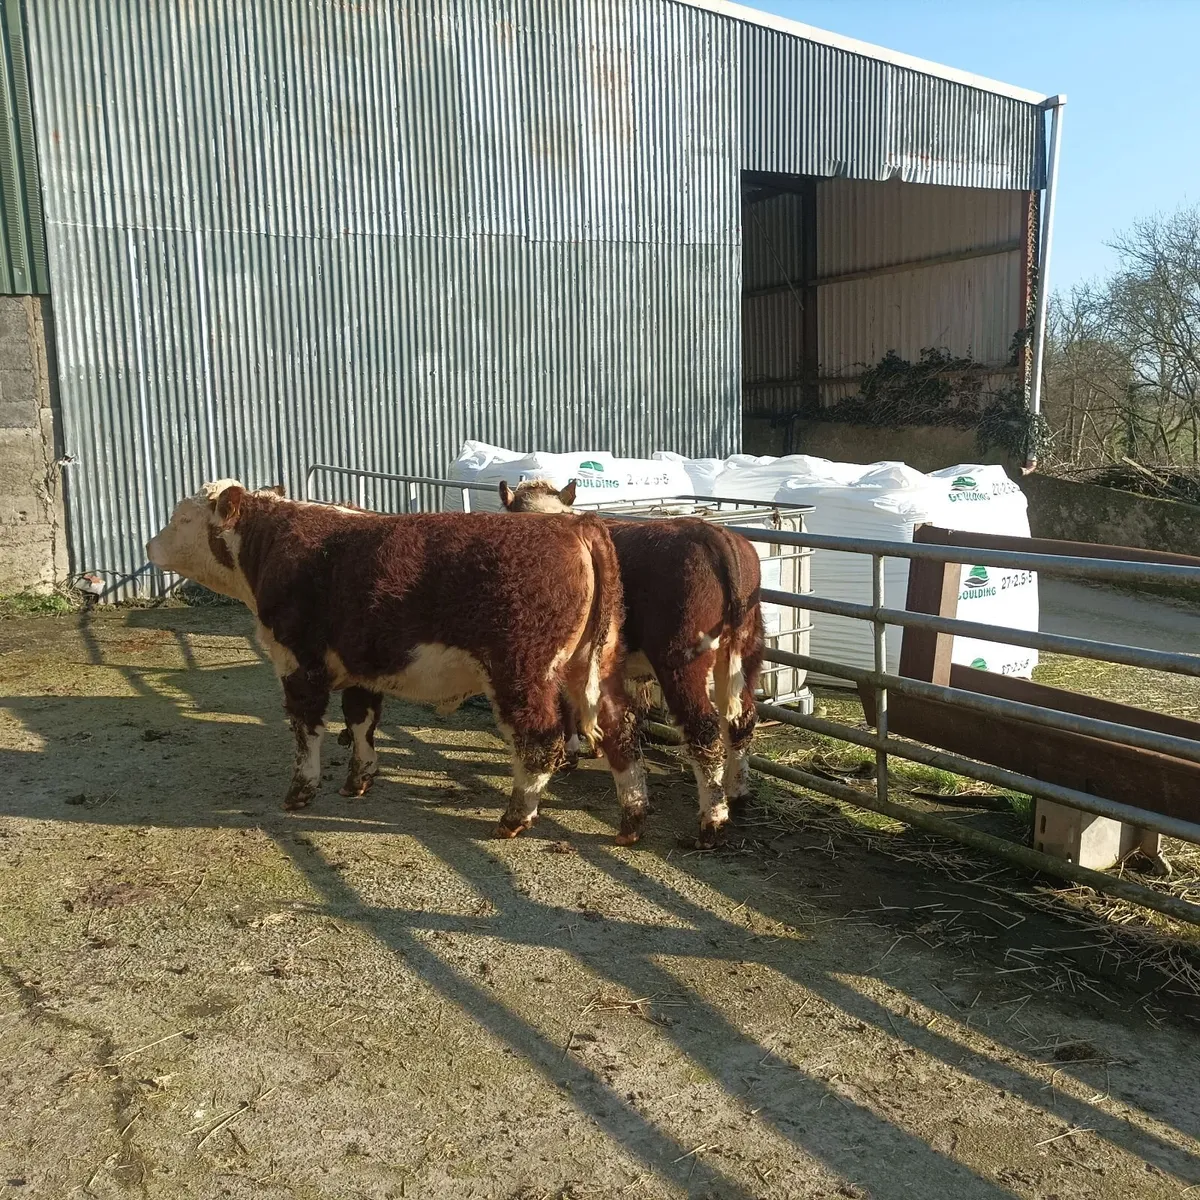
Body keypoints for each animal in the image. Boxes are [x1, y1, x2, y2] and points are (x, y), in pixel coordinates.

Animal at [145, 481, 649, 844]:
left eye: (182, 518)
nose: (149, 546)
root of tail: (574, 526)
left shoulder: (298, 661)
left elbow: (307, 730)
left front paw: (300, 792)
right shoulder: (360, 666)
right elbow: (361, 721)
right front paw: (358, 780)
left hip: (522, 671)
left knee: (540, 740)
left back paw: (513, 818)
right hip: (595, 664)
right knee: (620, 730)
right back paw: (631, 819)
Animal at [498, 478, 764, 848]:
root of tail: (713, 535)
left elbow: (566, 705)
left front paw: (571, 752)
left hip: (681, 660)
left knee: (704, 729)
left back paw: (711, 823)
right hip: (747, 648)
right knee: (741, 720)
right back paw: (737, 794)